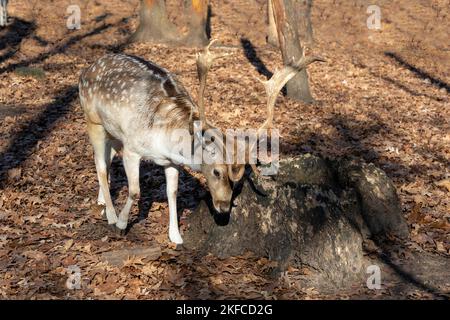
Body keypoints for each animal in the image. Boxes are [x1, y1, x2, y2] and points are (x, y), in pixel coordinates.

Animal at [78, 40, 324, 245]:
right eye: (216, 172)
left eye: (239, 178)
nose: (224, 207)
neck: (164, 140)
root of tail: (86, 69)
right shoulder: (132, 148)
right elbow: (135, 191)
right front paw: (121, 224)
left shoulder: (171, 162)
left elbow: (172, 193)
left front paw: (176, 237)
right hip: (93, 119)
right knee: (99, 164)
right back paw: (110, 215)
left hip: (113, 131)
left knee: (107, 158)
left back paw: (102, 201)